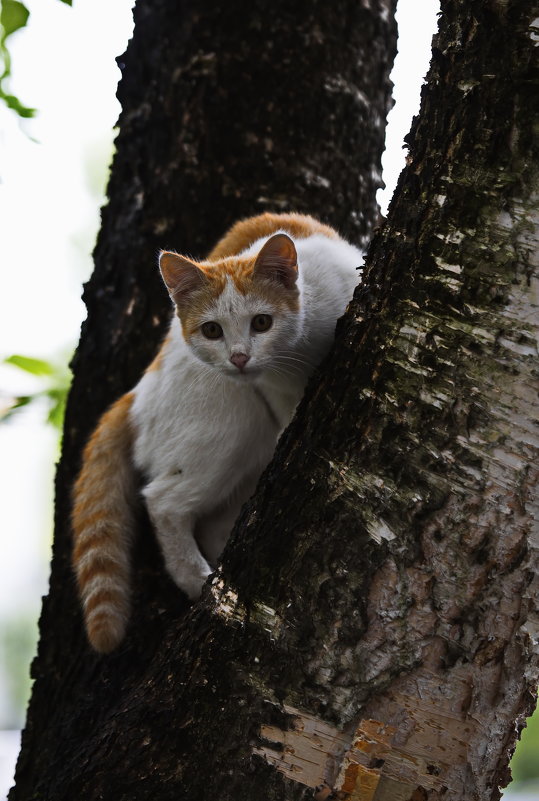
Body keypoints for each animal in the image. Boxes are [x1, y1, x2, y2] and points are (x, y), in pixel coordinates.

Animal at [71, 212, 364, 648]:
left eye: (262, 323)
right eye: (212, 331)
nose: (240, 358)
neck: (304, 349)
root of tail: (136, 394)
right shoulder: (274, 393)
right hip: (231, 427)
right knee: (163, 502)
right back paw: (200, 584)